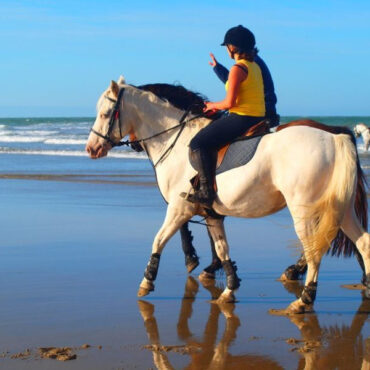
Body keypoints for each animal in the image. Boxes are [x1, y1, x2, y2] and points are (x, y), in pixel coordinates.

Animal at [86, 76, 370, 314]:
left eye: (105, 113)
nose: (91, 148)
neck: (176, 140)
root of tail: (334, 136)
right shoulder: (211, 213)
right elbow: (222, 249)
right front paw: (229, 289)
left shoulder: (179, 208)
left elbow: (159, 240)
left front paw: (148, 280)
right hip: (341, 209)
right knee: (363, 243)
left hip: (306, 210)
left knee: (314, 251)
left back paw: (303, 299)